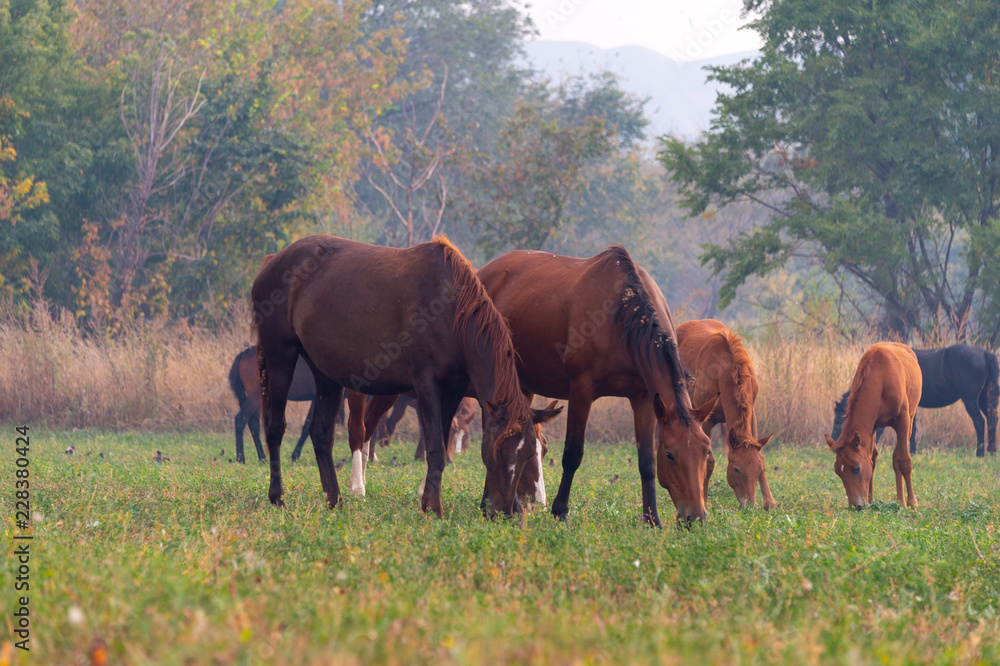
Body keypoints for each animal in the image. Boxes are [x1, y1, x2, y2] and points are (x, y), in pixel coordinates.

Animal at [250, 236, 564, 516]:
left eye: (531, 453)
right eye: (498, 451)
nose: (503, 512)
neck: (450, 312)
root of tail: (272, 261)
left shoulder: (452, 392)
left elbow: (439, 446)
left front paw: (427, 502)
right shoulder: (427, 385)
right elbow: (435, 449)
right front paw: (434, 508)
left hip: (325, 372)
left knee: (321, 433)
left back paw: (335, 499)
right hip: (281, 355)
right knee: (276, 426)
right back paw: (278, 497)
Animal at [478, 245, 720, 524]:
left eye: (706, 452)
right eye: (670, 455)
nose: (696, 517)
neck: (622, 316)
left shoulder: (644, 397)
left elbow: (646, 461)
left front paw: (652, 520)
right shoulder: (581, 390)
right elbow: (572, 454)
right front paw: (560, 512)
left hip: (523, 385)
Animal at [676, 320, 776, 508]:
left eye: (758, 469)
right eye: (736, 468)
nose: (749, 505)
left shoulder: (752, 414)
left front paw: (769, 502)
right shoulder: (706, 420)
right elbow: (708, 461)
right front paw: (704, 499)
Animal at [824, 342, 916, 508]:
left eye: (856, 469)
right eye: (838, 472)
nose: (855, 506)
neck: (882, 377)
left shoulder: (903, 420)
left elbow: (904, 461)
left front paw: (912, 503)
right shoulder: (872, 425)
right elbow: (871, 460)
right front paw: (870, 500)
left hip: (909, 421)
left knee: (898, 456)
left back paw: (902, 501)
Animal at [832, 342, 1000, 456]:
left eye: (840, 417)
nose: (834, 441)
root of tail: (985, 353)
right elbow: (912, 430)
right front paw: (912, 451)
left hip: (970, 399)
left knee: (979, 421)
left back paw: (980, 453)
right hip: (983, 399)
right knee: (992, 419)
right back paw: (991, 451)